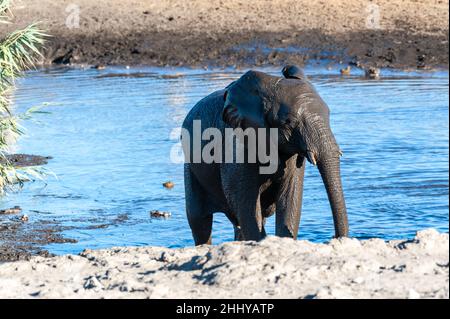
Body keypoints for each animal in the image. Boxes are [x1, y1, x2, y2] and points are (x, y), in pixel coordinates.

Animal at [181, 64, 350, 245]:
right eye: (288, 123)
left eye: (329, 114)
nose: (334, 237)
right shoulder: (238, 147)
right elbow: (246, 206)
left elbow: (290, 200)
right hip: (190, 167)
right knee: (199, 221)